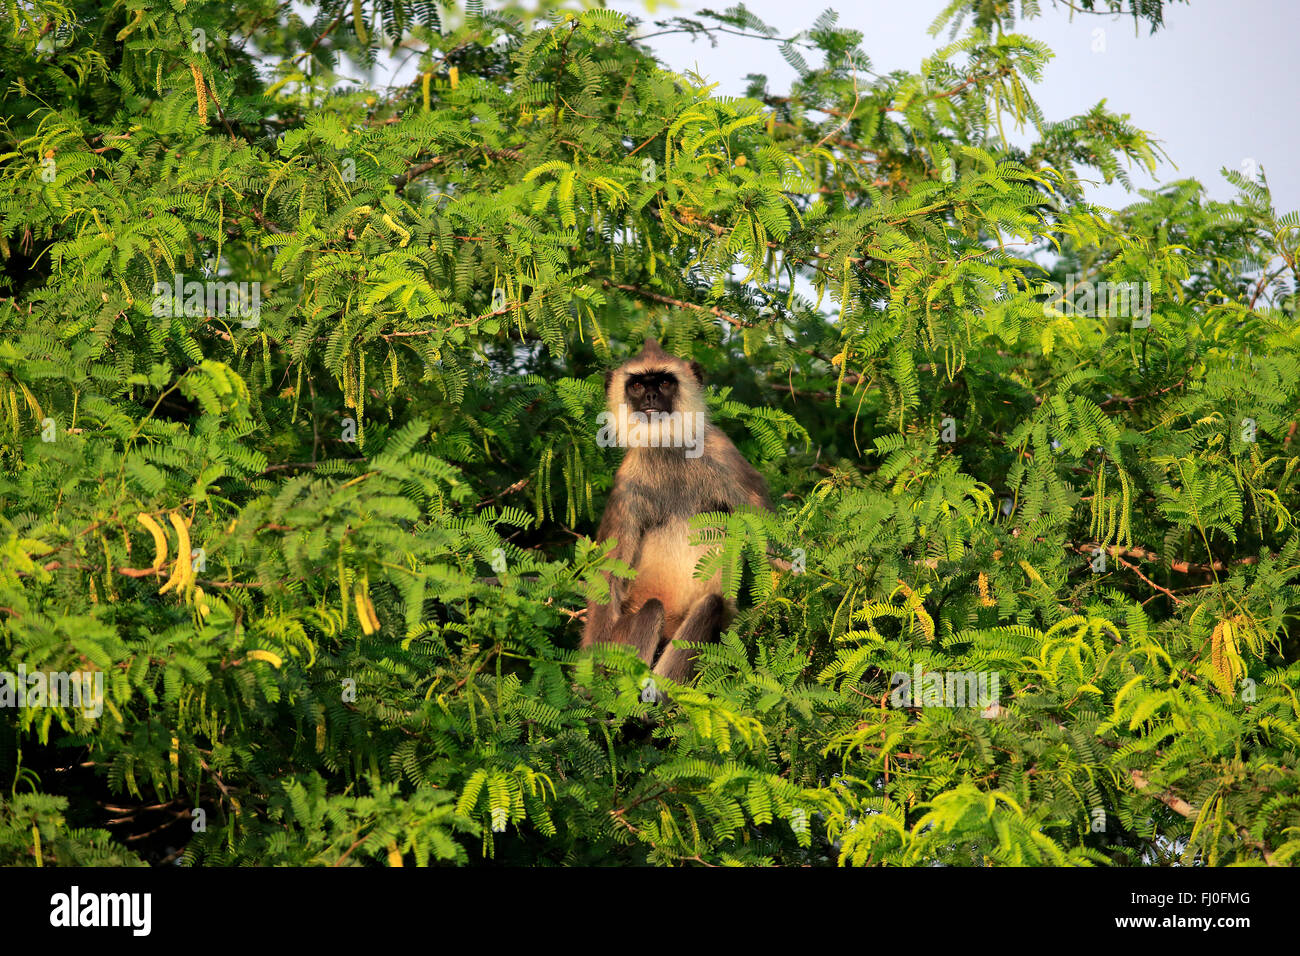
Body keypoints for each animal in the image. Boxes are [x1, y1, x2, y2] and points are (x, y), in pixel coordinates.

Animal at [582, 340, 769, 686]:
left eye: (666, 382)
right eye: (637, 385)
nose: (650, 397)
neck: (667, 449)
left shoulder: (721, 452)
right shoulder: (628, 484)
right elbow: (609, 574)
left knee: (712, 606)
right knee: (653, 609)